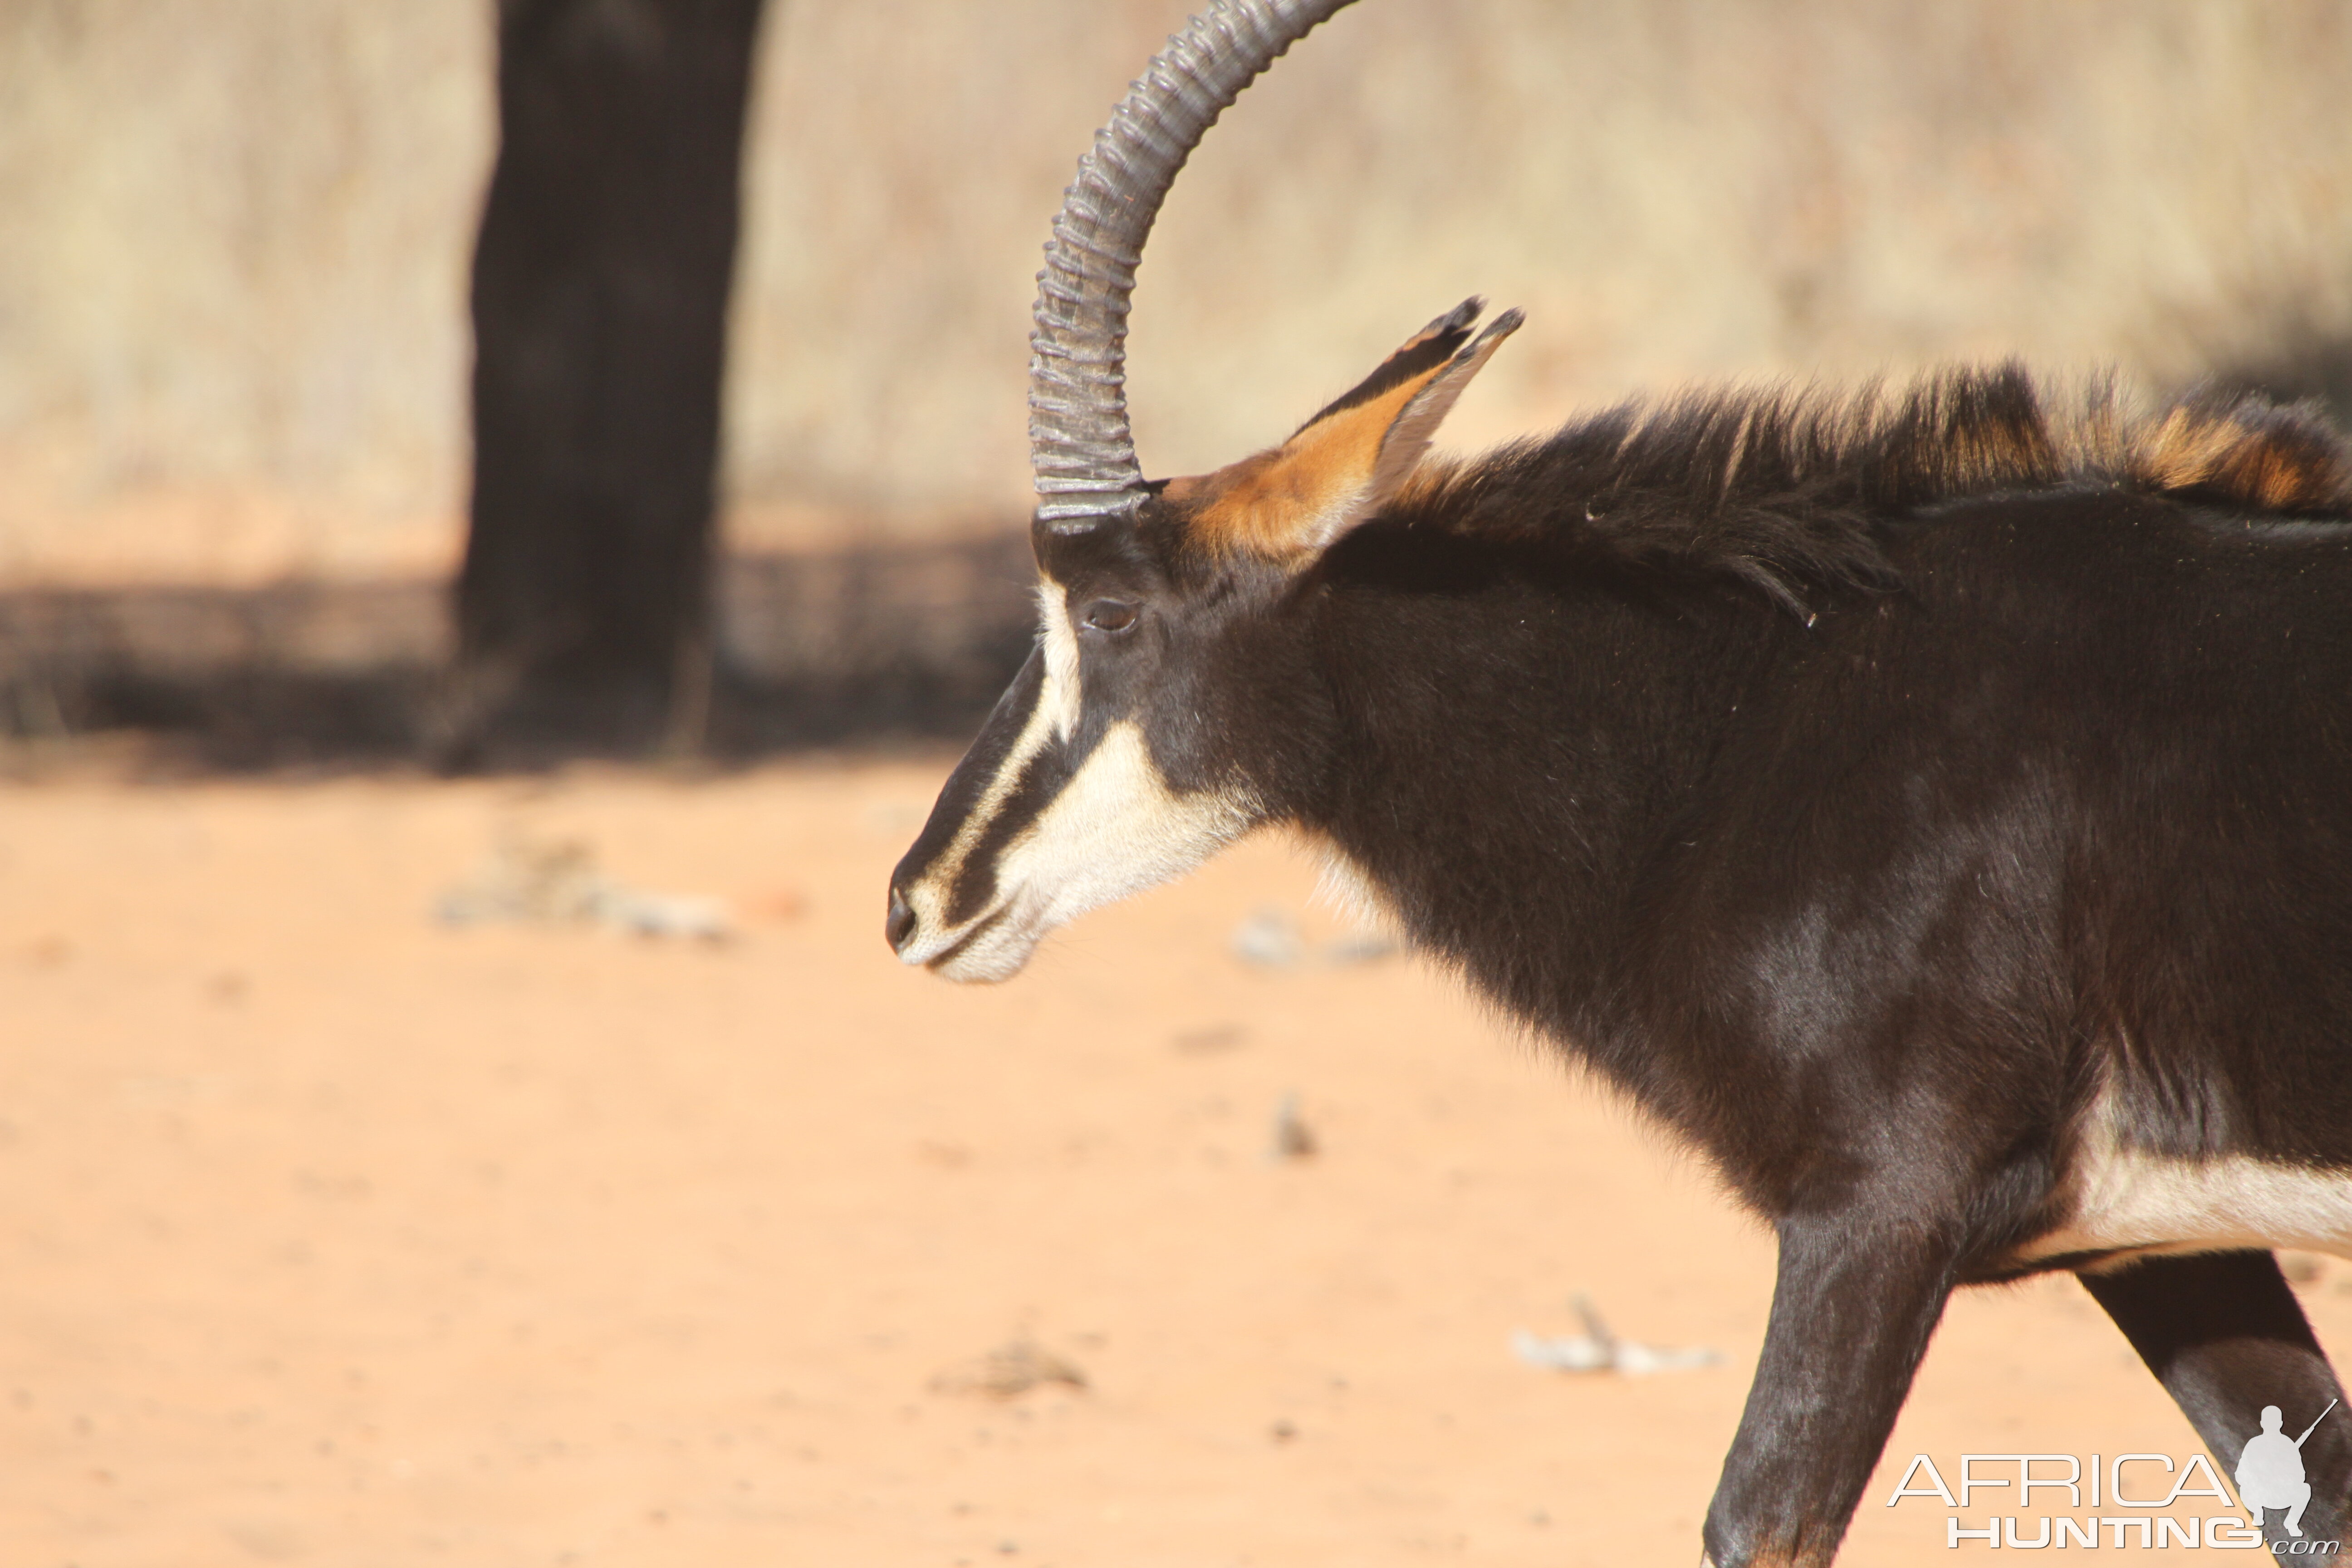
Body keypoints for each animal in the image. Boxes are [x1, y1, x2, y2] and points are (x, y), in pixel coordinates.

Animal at [884, 6, 2352, 1561]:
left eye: (1108, 613)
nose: (921, 903)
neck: (1754, 715)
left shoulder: (1880, 1211)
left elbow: (1755, 1520)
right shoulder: (2163, 1246)